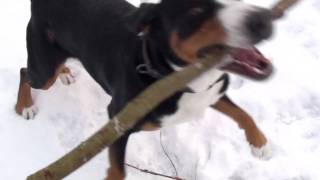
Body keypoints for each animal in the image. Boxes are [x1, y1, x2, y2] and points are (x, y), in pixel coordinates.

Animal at [15, 0, 276, 179]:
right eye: (195, 12)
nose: (261, 19)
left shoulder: (211, 91)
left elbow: (242, 113)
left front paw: (259, 143)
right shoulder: (117, 121)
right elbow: (118, 171)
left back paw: (66, 73)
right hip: (43, 71)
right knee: (25, 72)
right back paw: (25, 106)